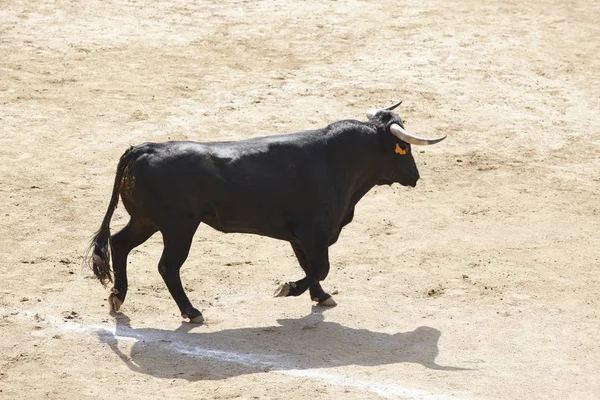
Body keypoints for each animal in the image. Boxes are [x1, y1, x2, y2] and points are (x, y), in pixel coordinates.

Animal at [89, 104, 446, 324]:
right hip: (179, 228)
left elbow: (312, 268)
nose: (415, 176)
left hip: (146, 221)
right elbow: (321, 267)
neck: (339, 160)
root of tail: (143, 148)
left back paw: (117, 297)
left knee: (119, 244)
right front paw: (288, 289)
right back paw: (191, 312)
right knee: (167, 266)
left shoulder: (300, 237)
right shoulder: (313, 233)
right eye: (406, 148)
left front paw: (321, 296)